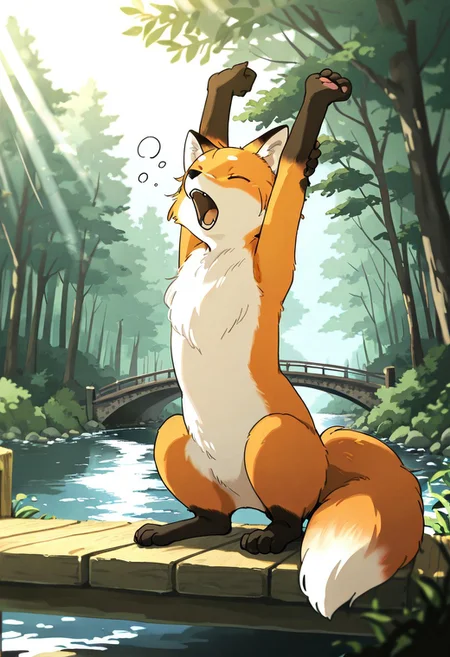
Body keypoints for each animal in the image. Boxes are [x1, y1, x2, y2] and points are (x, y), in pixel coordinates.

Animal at [135, 63, 424, 619]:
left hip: (272, 436)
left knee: (293, 517)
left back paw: (271, 536)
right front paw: (226, 83)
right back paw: (181, 526)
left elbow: (291, 178)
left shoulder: (272, 256)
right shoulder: (189, 247)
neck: (217, 258)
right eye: (196, 167)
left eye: (233, 175)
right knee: (217, 520)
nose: (193, 178)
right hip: (173, 433)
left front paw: (320, 93)